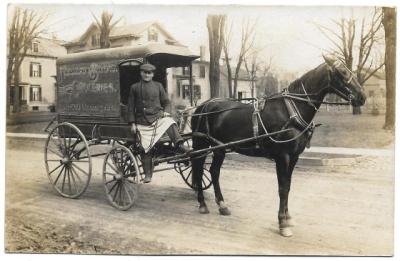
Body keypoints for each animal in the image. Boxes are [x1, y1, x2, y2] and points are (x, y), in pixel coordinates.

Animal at [190, 54, 366, 236]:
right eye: (342, 72)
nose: (362, 97)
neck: (291, 110)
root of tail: (203, 105)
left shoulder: (294, 157)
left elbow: (288, 185)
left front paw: (288, 218)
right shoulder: (283, 157)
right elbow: (282, 188)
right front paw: (282, 223)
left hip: (220, 148)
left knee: (214, 172)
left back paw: (222, 205)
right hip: (201, 145)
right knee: (198, 168)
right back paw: (202, 204)